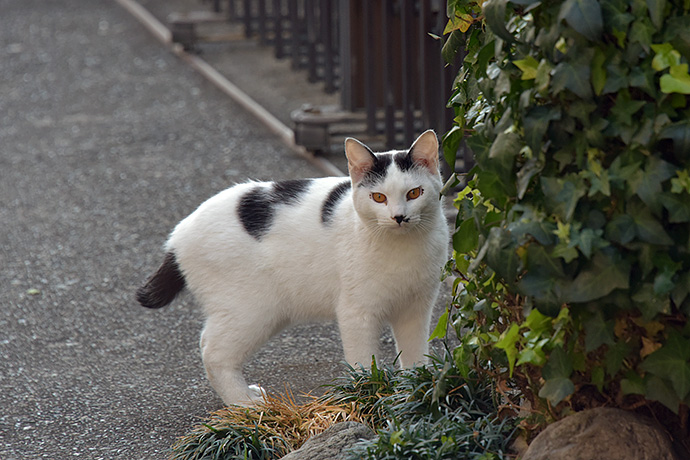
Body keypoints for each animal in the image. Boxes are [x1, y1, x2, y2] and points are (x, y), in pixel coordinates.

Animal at [136, 127, 448, 404]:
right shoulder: (356, 312)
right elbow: (361, 360)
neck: (402, 249)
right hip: (250, 309)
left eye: (414, 193)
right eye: (379, 197)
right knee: (212, 351)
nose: (399, 217)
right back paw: (244, 404)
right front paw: (367, 395)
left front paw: (414, 389)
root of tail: (178, 233)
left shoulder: (416, 309)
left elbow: (414, 354)